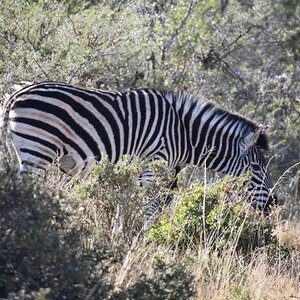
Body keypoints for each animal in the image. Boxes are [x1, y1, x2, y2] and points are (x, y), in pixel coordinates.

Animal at [0, 81, 278, 229]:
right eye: (257, 169)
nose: (274, 206)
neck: (183, 132)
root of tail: (15, 95)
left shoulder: (134, 167)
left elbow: (124, 201)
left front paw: (117, 235)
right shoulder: (154, 164)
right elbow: (150, 208)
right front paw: (145, 239)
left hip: (29, 152)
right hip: (38, 150)